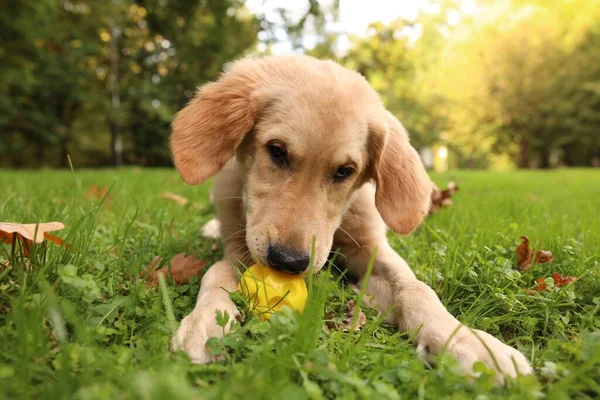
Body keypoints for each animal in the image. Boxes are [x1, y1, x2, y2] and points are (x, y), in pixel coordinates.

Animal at [168, 54, 528, 382]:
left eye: (345, 171)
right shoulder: (240, 247)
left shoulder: (370, 248)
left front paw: (470, 343)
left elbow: (416, 287)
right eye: (277, 151)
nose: (288, 262)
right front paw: (206, 321)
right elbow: (217, 270)